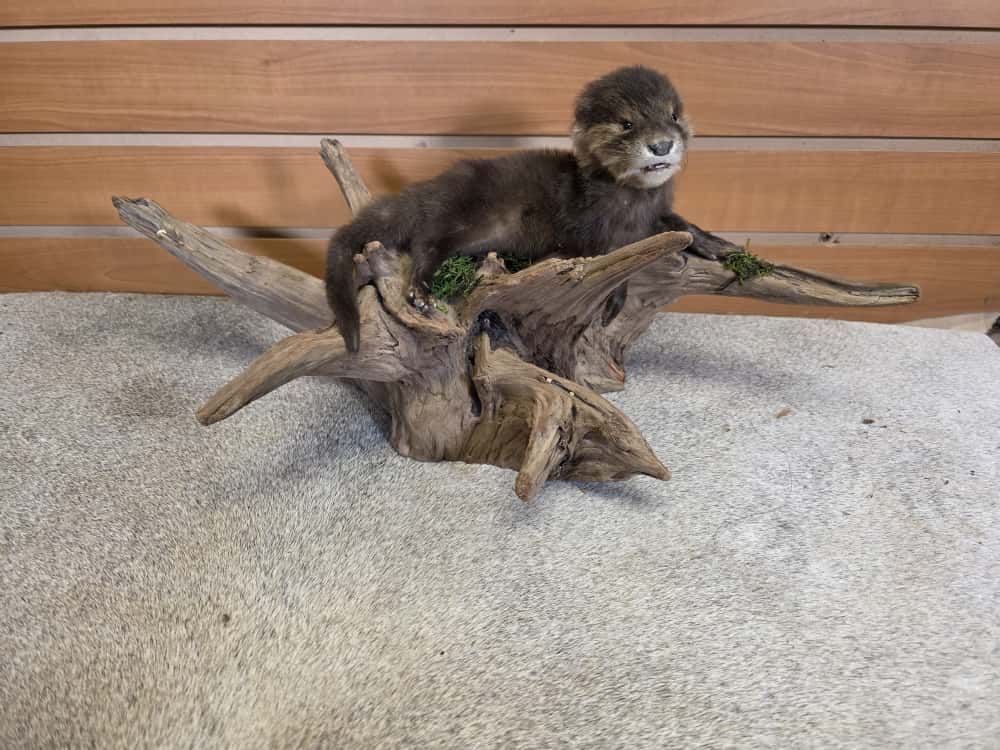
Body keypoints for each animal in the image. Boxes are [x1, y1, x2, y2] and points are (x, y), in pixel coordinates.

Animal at [326, 65, 717, 353]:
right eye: (626, 123)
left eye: (673, 115)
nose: (662, 144)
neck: (631, 208)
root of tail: (434, 187)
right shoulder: (589, 228)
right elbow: (609, 258)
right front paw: (616, 296)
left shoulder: (657, 211)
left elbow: (677, 223)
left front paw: (713, 244)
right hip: (463, 215)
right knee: (426, 242)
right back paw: (420, 291)